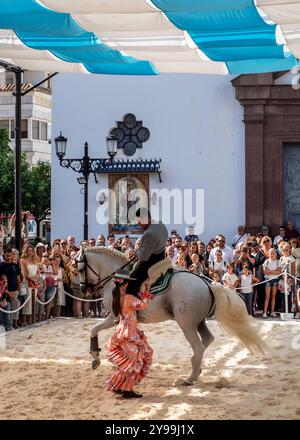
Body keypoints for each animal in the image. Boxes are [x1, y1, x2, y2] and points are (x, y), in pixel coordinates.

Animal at [77, 248, 264, 384]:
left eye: (79, 268)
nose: (83, 289)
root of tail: (207, 285)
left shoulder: (114, 317)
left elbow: (94, 330)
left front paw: (95, 357)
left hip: (186, 325)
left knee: (198, 346)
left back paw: (189, 378)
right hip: (199, 322)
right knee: (207, 339)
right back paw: (196, 367)